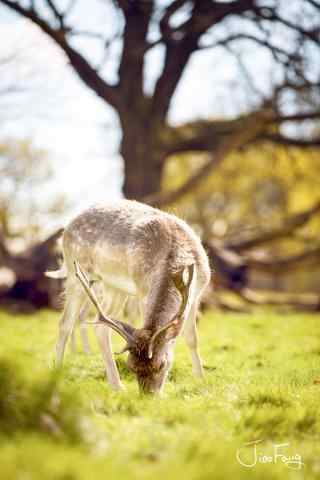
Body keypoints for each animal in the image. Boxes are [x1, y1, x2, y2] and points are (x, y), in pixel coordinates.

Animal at [48, 199, 211, 394]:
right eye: (131, 367)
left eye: (162, 364)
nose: (148, 396)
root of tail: (64, 231)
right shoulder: (142, 291)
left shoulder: (196, 295)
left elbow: (192, 338)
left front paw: (201, 380)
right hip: (77, 274)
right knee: (65, 323)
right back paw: (58, 375)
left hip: (114, 287)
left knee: (100, 327)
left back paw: (116, 385)